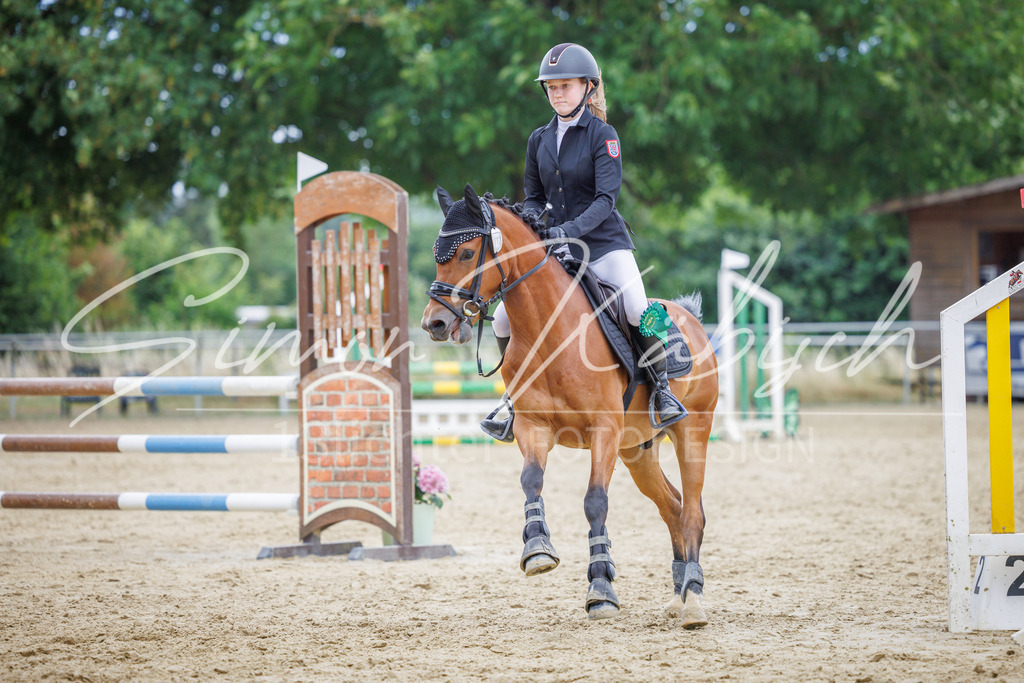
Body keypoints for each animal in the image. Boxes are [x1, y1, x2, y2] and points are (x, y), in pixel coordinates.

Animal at [420, 185, 719, 626]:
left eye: (467, 253)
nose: (435, 324)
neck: (549, 331)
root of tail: (692, 320)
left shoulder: (604, 432)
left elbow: (595, 502)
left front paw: (601, 588)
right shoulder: (532, 426)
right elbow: (531, 481)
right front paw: (537, 550)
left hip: (692, 434)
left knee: (693, 511)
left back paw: (694, 602)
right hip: (638, 450)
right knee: (673, 507)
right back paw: (678, 595)